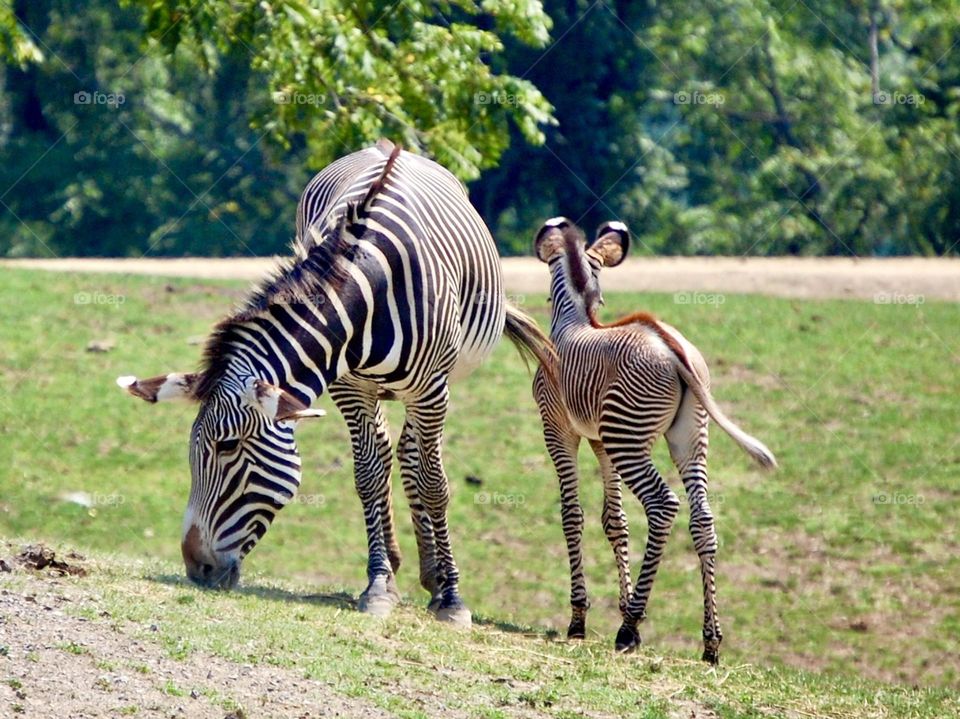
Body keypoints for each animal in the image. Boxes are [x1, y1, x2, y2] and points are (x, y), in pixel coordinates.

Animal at [119, 139, 552, 624]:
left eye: (227, 447)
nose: (196, 568)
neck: (369, 289)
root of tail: (385, 145)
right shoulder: (348, 387)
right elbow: (368, 477)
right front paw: (379, 585)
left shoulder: (431, 387)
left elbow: (434, 483)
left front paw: (453, 598)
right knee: (391, 452)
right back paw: (404, 568)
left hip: (430, 387)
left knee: (414, 458)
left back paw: (436, 578)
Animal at [528, 218, 776, 664]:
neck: (575, 319)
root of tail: (670, 344)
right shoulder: (601, 440)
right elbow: (615, 521)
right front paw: (620, 604)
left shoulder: (559, 430)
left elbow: (572, 515)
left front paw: (580, 619)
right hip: (687, 435)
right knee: (703, 518)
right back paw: (710, 643)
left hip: (629, 439)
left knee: (663, 505)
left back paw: (629, 629)